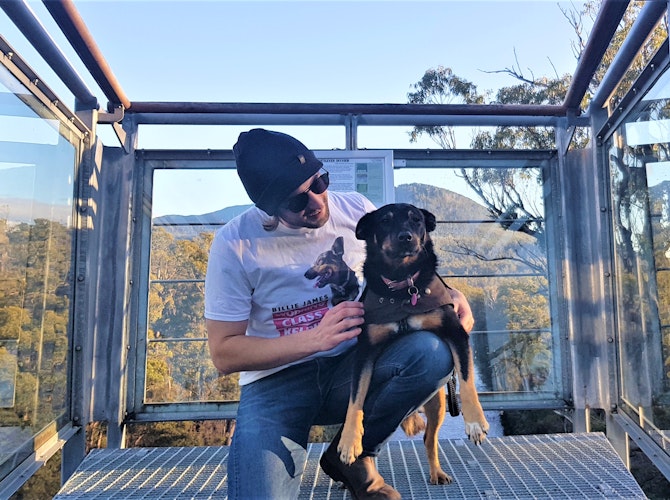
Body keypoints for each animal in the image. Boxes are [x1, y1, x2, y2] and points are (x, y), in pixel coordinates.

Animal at [338, 202, 490, 484]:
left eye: (416, 219)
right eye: (385, 221)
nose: (405, 237)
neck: (402, 285)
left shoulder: (457, 332)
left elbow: (467, 380)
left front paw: (475, 422)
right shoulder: (365, 352)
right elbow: (355, 399)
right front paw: (349, 441)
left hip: (438, 403)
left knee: (430, 438)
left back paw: (437, 472)